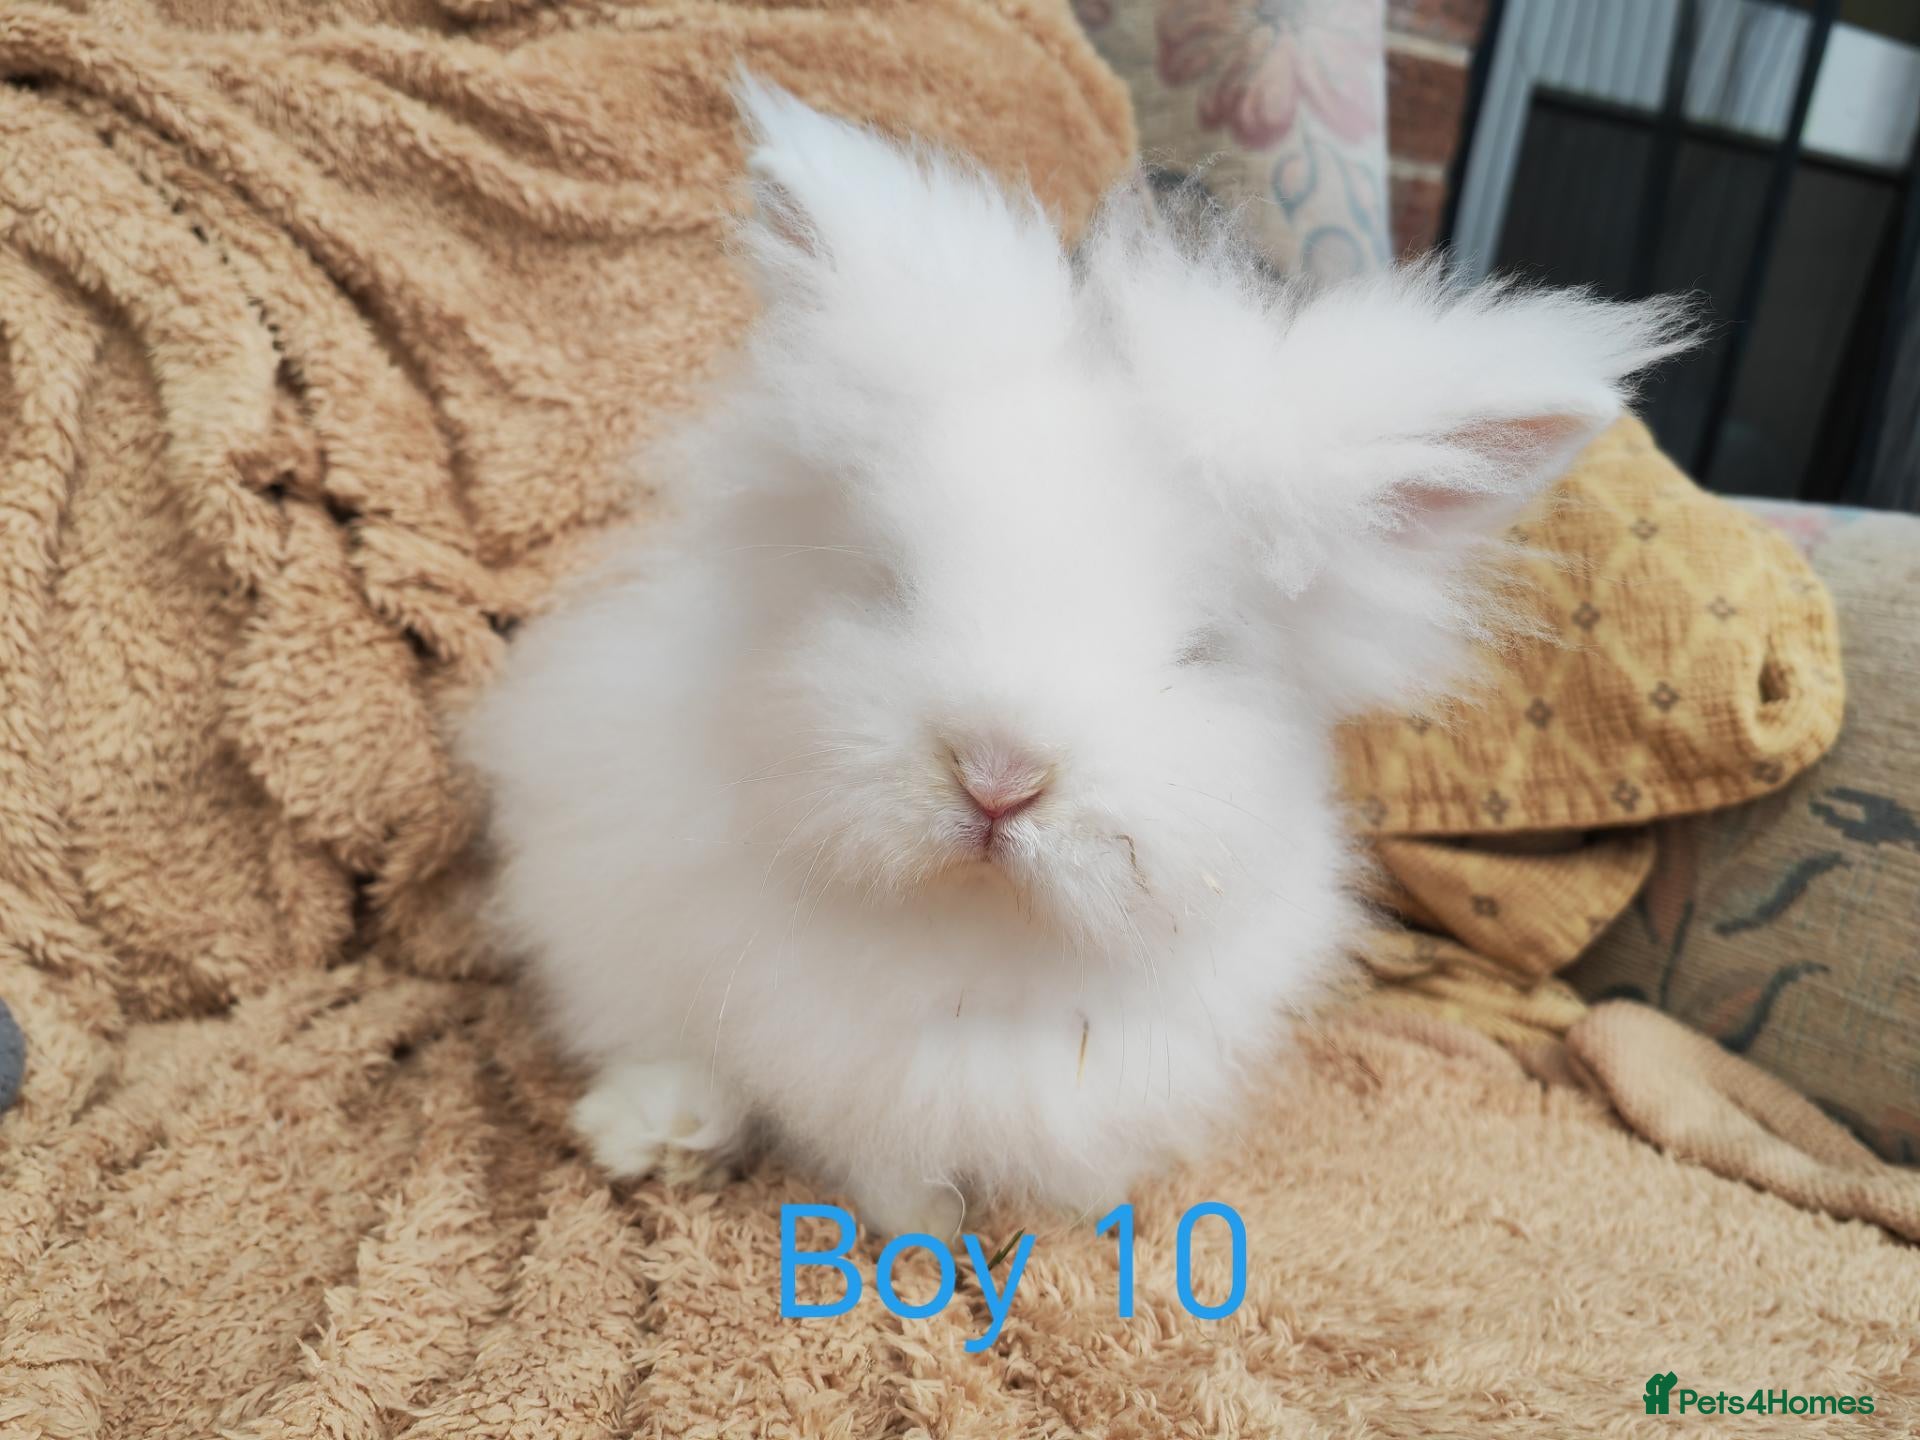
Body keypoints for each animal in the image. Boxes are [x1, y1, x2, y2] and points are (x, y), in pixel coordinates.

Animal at [459, 77, 1689, 1240]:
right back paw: (654, 1133)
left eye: (1201, 648)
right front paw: (917, 1227)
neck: (984, 934)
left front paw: (1027, 1217)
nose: (998, 775)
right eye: (888, 585)